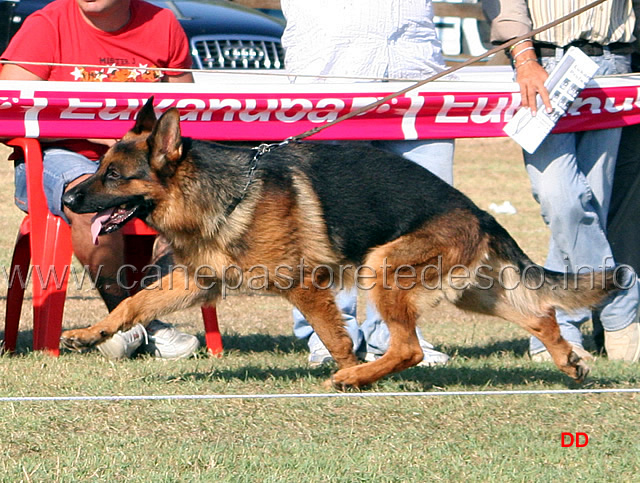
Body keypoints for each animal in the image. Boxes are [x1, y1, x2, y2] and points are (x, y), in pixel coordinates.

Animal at [61, 99, 616, 390]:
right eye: (100, 167)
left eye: (113, 175)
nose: (67, 197)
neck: (221, 192)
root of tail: (477, 211)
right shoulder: (197, 283)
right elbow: (134, 303)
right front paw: (90, 333)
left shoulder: (306, 286)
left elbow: (337, 338)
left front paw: (351, 373)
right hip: (471, 291)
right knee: (540, 313)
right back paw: (569, 361)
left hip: (383, 269)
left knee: (410, 347)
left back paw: (359, 377)